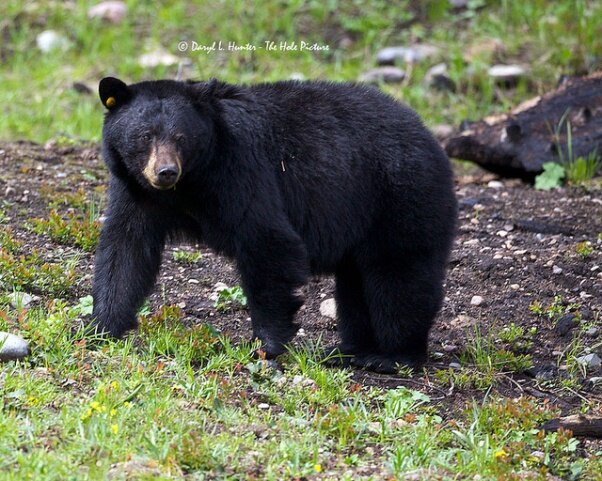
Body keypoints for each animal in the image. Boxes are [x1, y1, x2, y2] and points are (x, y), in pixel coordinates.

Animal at [90, 77, 454, 374]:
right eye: (145, 136)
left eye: (181, 137)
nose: (165, 172)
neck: (189, 185)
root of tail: (427, 134)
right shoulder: (135, 192)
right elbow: (125, 249)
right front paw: (99, 327)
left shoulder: (240, 169)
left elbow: (268, 242)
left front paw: (267, 345)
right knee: (355, 285)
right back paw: (348, 351)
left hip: (399, 195)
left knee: (399, 277)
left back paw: (393, 356)